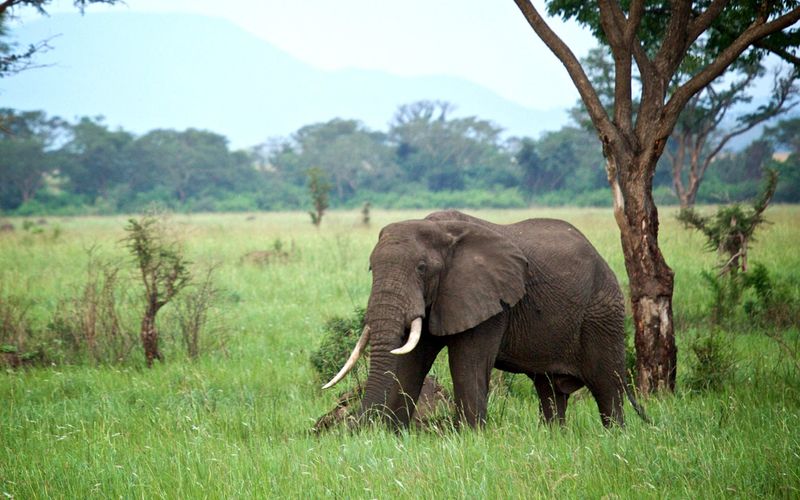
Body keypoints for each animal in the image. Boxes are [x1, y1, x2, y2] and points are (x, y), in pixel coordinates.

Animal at [322, 209, 648, 428]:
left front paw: (469, 436)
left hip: (603, 313)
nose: (356, 427)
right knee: (549, 389)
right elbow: (411, 363)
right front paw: (393, 434)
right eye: (371, 269)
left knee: (607, 385)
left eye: (422, 268)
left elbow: (467, 363)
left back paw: (614, 437)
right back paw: (554, 436)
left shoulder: (489, 300)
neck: (439, 229)